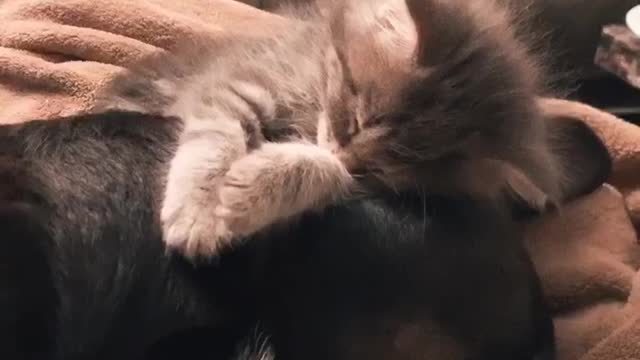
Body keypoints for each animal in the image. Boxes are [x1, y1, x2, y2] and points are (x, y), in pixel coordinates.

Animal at [104, 0, 600, 260]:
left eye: (384, 169)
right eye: (357, 118)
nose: (343, 151)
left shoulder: (367, 187)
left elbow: (331, 174)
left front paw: (259, 186)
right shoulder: (240, 76)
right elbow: (216, 135)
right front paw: (198, 212)